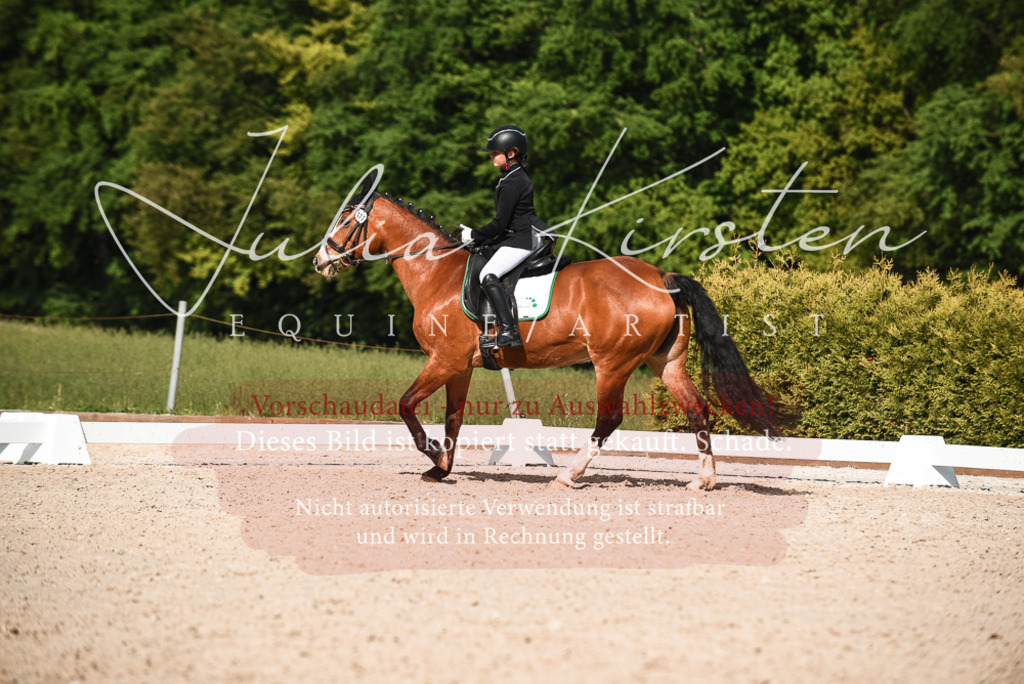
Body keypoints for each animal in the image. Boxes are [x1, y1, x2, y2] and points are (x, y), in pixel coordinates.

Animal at [313, 191, 783, 490]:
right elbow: (453, 418)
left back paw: (568, 476)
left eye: (346, 221)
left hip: (612, 363)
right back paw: (704, 480)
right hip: (664, 362)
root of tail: (661, 277)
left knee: (609, 419)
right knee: (697, 408)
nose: (320, 261)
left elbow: (406, 404)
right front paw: (441, 468)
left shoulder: (443, 361)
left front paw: (430, 455)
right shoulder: (458, 366)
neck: (436, 274)